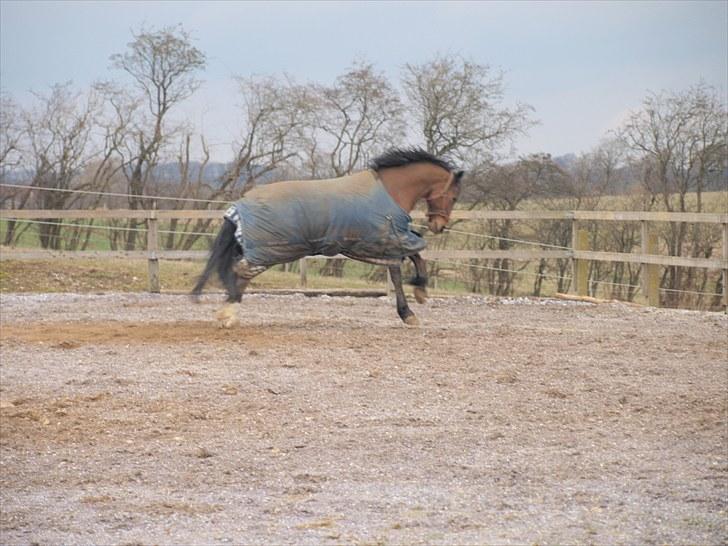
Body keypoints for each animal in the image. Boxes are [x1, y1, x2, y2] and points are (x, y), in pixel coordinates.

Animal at [192, 147, 466, 326]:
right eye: (454, 197)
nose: (439, 225)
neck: (391, 191)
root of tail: (239, 205)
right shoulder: (386, 240)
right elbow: (414, 257)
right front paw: (415, 299)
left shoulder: (385, 244)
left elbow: (406, 264)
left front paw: (414, 301)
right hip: (267, 251)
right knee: (241, 273)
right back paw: (228, 315)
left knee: (237, 273)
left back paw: (226, 312)